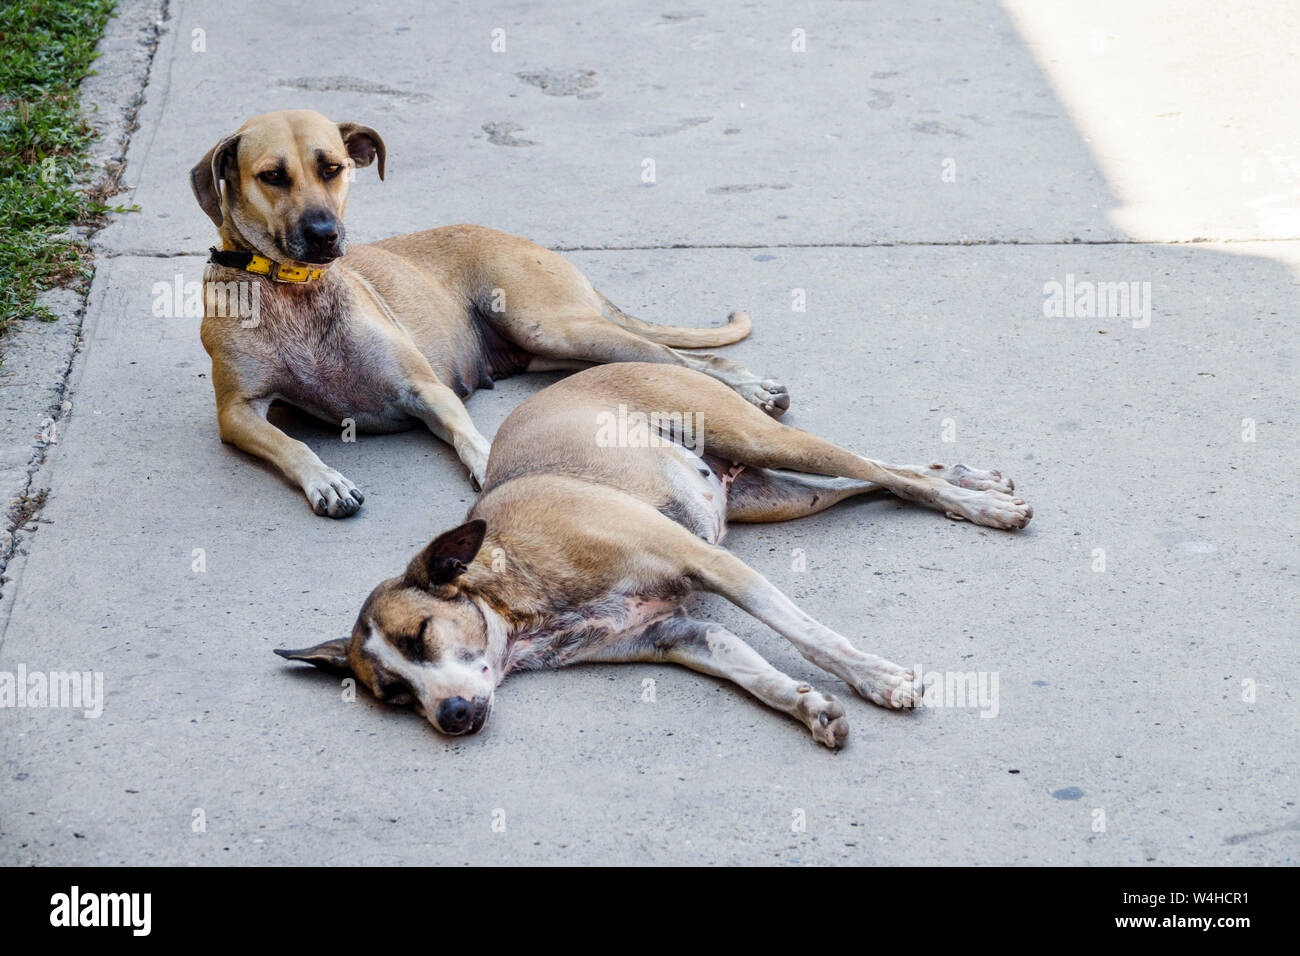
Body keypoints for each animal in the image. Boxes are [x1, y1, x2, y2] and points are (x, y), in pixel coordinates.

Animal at [188, 106, 785, 515]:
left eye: (332, 168)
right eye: (272, 176)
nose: (324, 234)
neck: (295, 292)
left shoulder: (426, 389)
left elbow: (467, 433)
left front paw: (483, 460)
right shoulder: (238, 412)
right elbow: (290, 444)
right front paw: (325, 479)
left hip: (555, 327)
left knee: (684, 359)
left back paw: (752, 389)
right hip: (553, 347)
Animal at [279, 364, 1029, 749]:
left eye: (422, 634)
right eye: (394, 693)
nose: (453, 718)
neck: (517, 605)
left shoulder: (712, 566)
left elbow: (809, 636)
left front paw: (874, 677)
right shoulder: (682, 636)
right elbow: (754, 673)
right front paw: (806, 705)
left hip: (762, 438)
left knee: (885, 473)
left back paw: (978, 503)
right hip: (783, 495)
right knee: (884, 477)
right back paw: (970, 479)